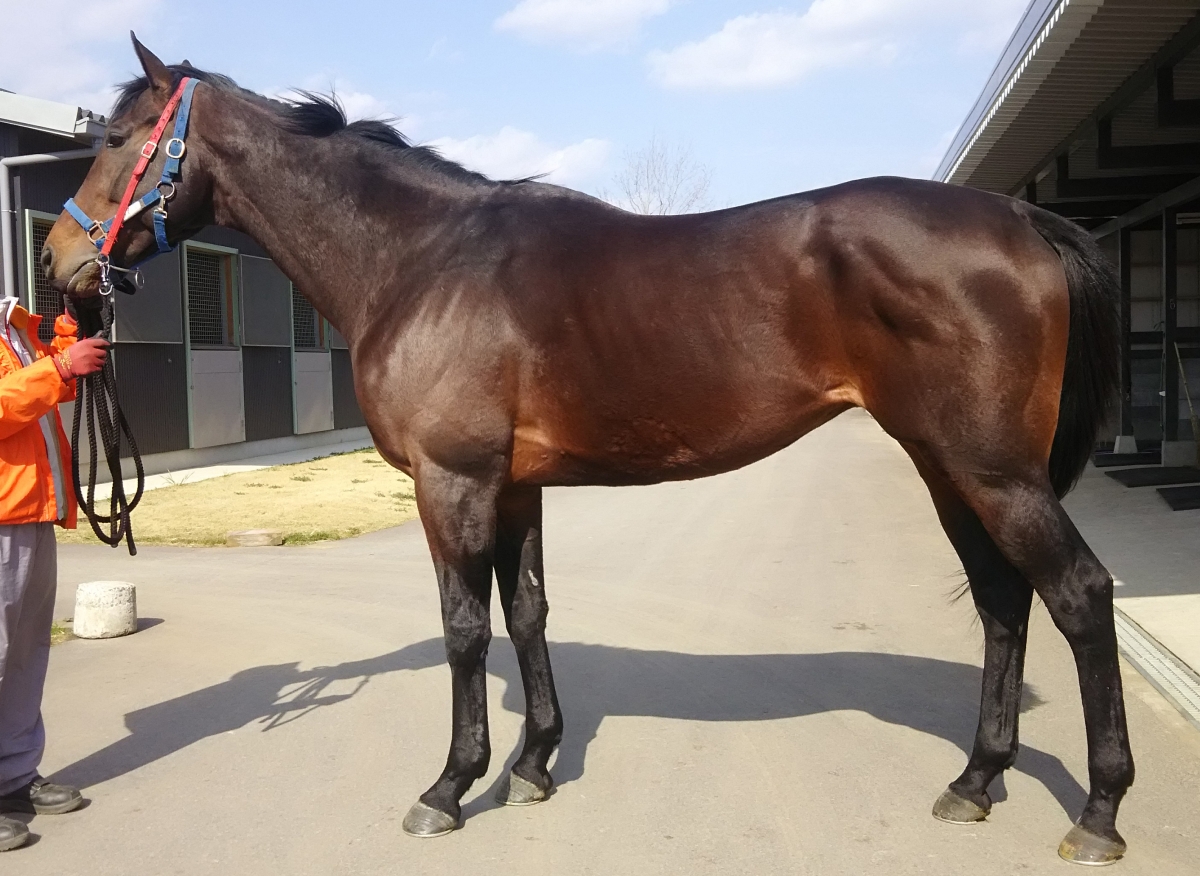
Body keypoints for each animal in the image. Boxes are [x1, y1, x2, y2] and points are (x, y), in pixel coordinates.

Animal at [42, 37, 1131, 865]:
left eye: (119, 138)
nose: (57, 262)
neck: (425, 261)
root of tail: (1020, 216)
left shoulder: (454, 483)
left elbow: (464, 629)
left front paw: (451, 785)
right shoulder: (513, 486)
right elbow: (526, 612)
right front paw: (533, 765)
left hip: (990, 469)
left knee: (1077, 594)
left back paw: (1098, 813)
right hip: (948, 466)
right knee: (1003, 601)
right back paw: (976, 780)